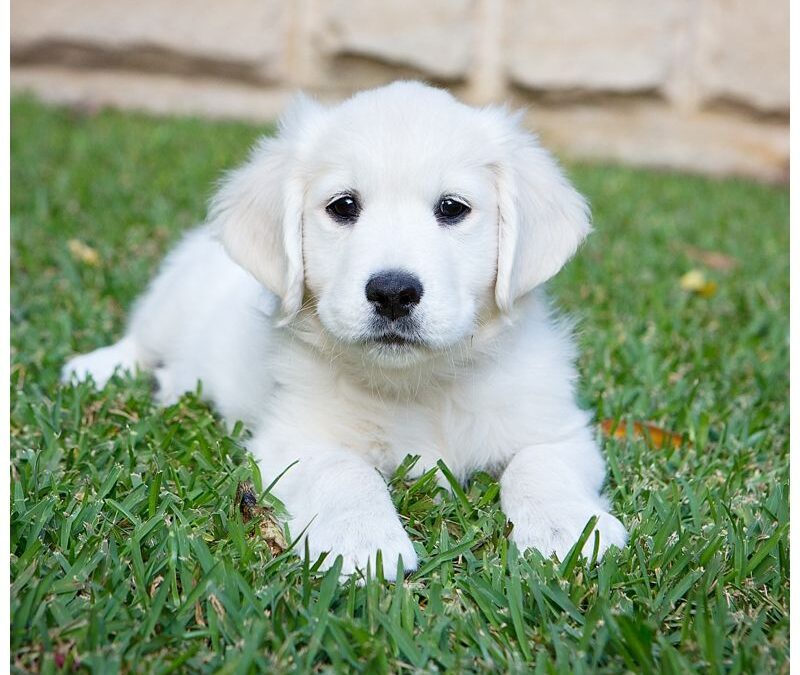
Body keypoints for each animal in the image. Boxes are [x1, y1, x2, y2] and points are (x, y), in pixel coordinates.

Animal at [64, 82, 624, 580]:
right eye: (343, 206)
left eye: (452, 208)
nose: (393, 292)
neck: (419, 385)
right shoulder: (295, 438)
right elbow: (343, 472)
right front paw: (363, 542)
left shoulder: (556, 426)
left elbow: (541, 464)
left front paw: (570, 529)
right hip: (170, 300)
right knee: (139, 342)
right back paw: (93, 369)